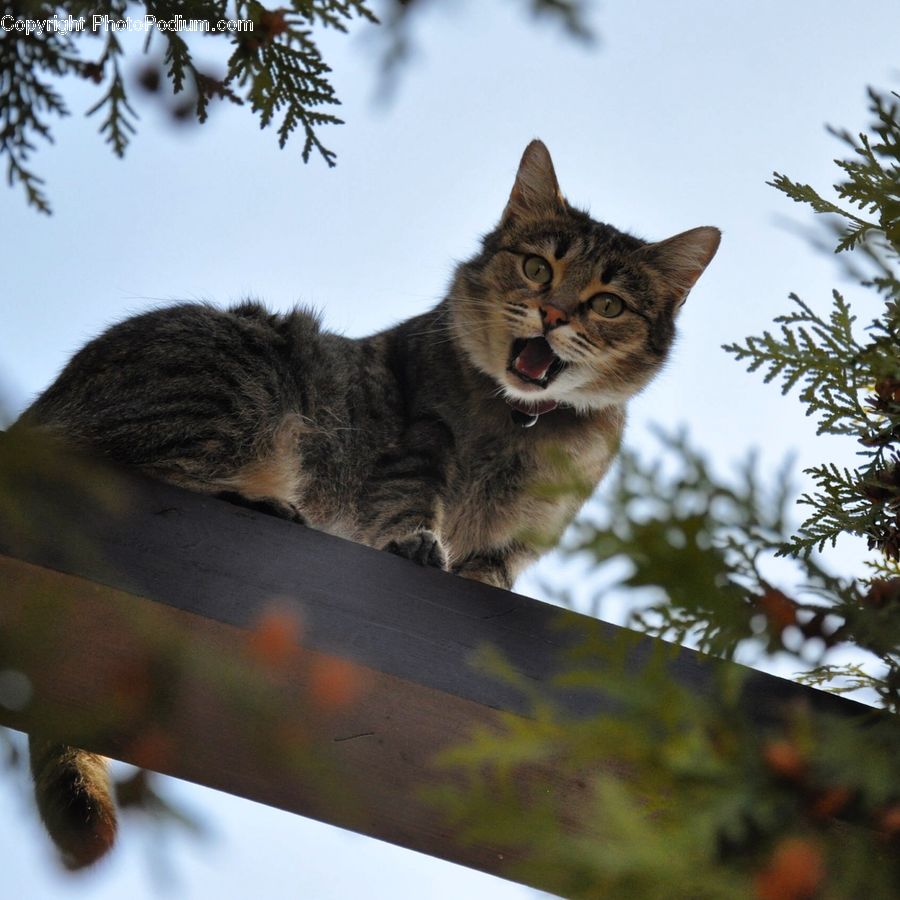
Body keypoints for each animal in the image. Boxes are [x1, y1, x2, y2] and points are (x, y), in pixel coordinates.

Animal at [14, 141, 716, 864]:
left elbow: (492, 570)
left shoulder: (523, 538)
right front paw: (418, 542)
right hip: (240, 394)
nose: (554, 313)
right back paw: (267, 504)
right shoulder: (417, 442)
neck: (525, 429)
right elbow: (409, 500)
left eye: (607, 303)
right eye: (536, 267)